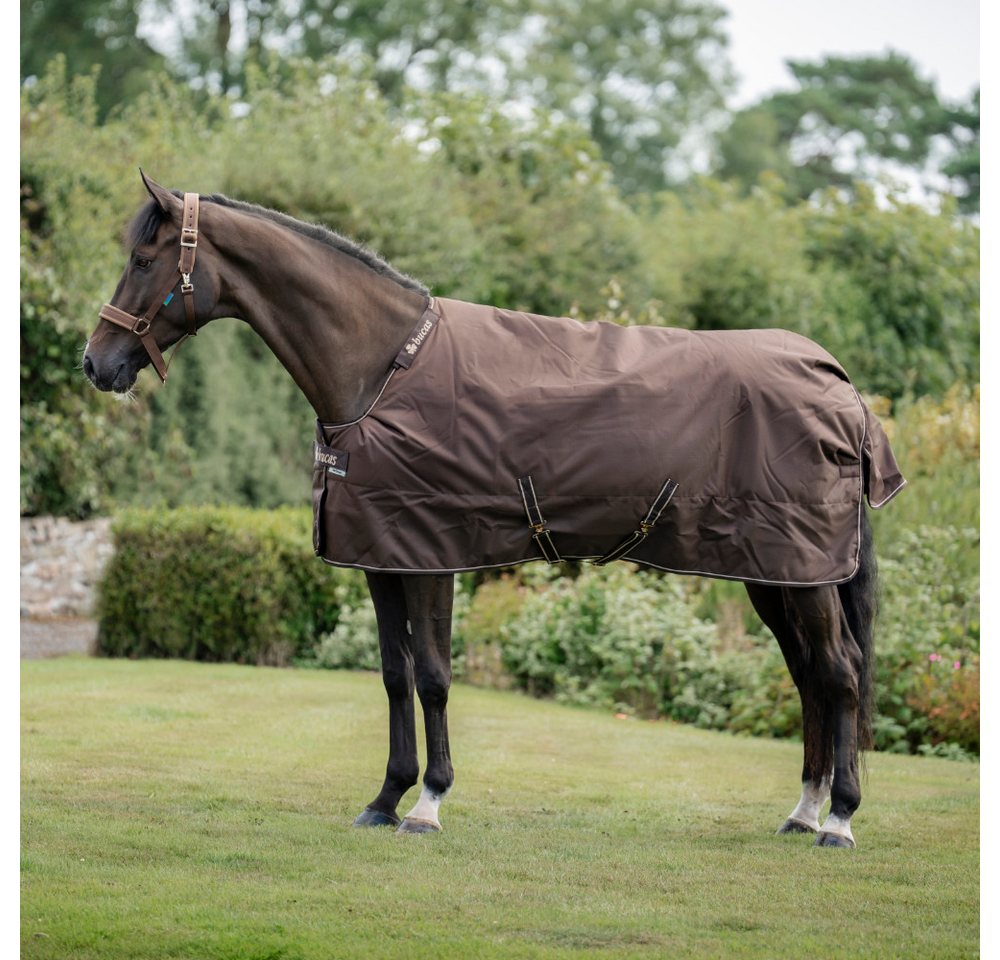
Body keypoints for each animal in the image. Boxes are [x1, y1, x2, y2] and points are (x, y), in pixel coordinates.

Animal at [83, 173, 905, 848]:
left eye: (145, 259)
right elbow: (394, 675)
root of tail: (840, 386)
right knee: (809, 676)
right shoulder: (380, 558)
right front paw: (384, 799)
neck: (383, 368)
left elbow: (434, 676)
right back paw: (803, 812)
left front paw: (428, 804)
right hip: (777, 574)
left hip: (802, 573)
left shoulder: (431, 554)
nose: (96, 364)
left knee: (839, 673)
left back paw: (839, 820)